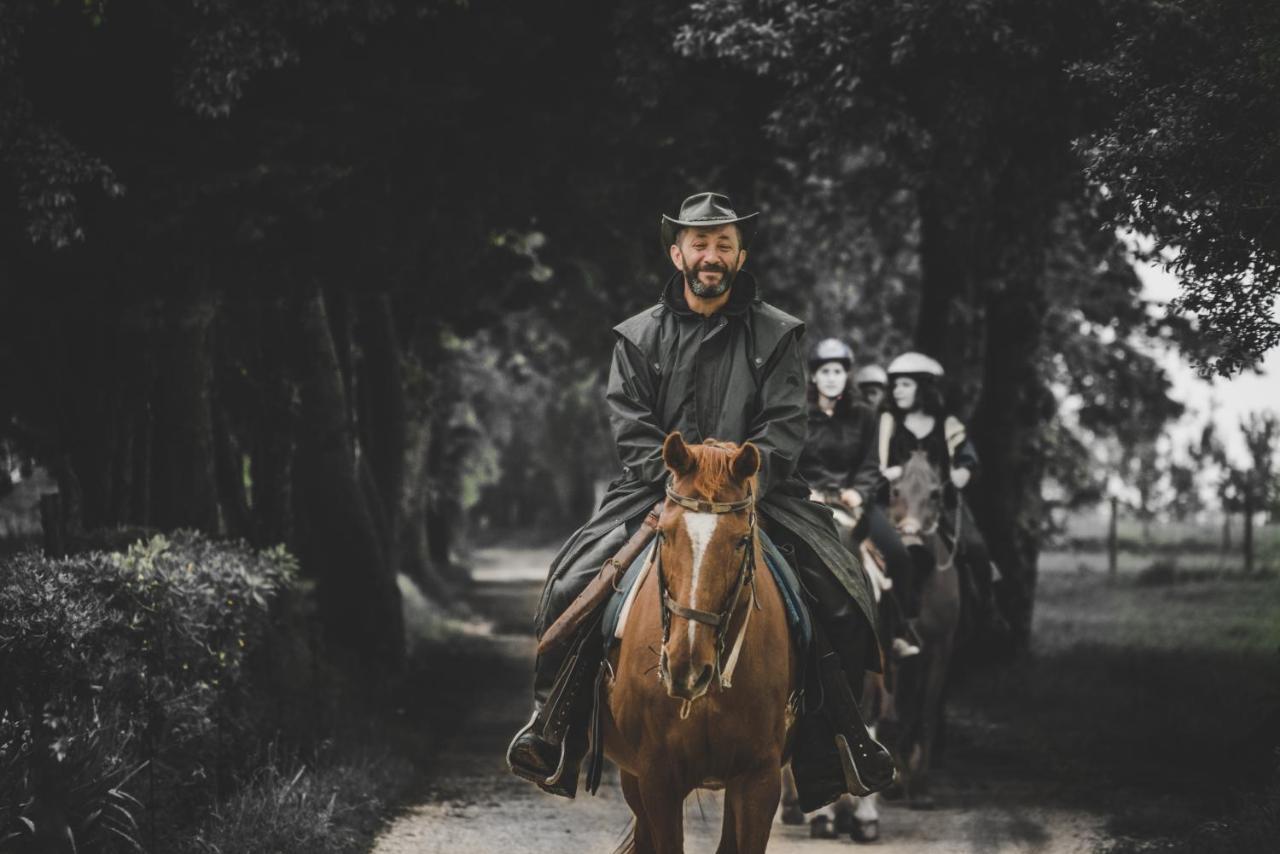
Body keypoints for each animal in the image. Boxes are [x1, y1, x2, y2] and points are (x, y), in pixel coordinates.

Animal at [601, 435, 798, 854]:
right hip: (634, 779)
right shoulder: (657, 778)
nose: (686, 668)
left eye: (741, 541)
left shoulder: (759, 779)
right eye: (664, 534)